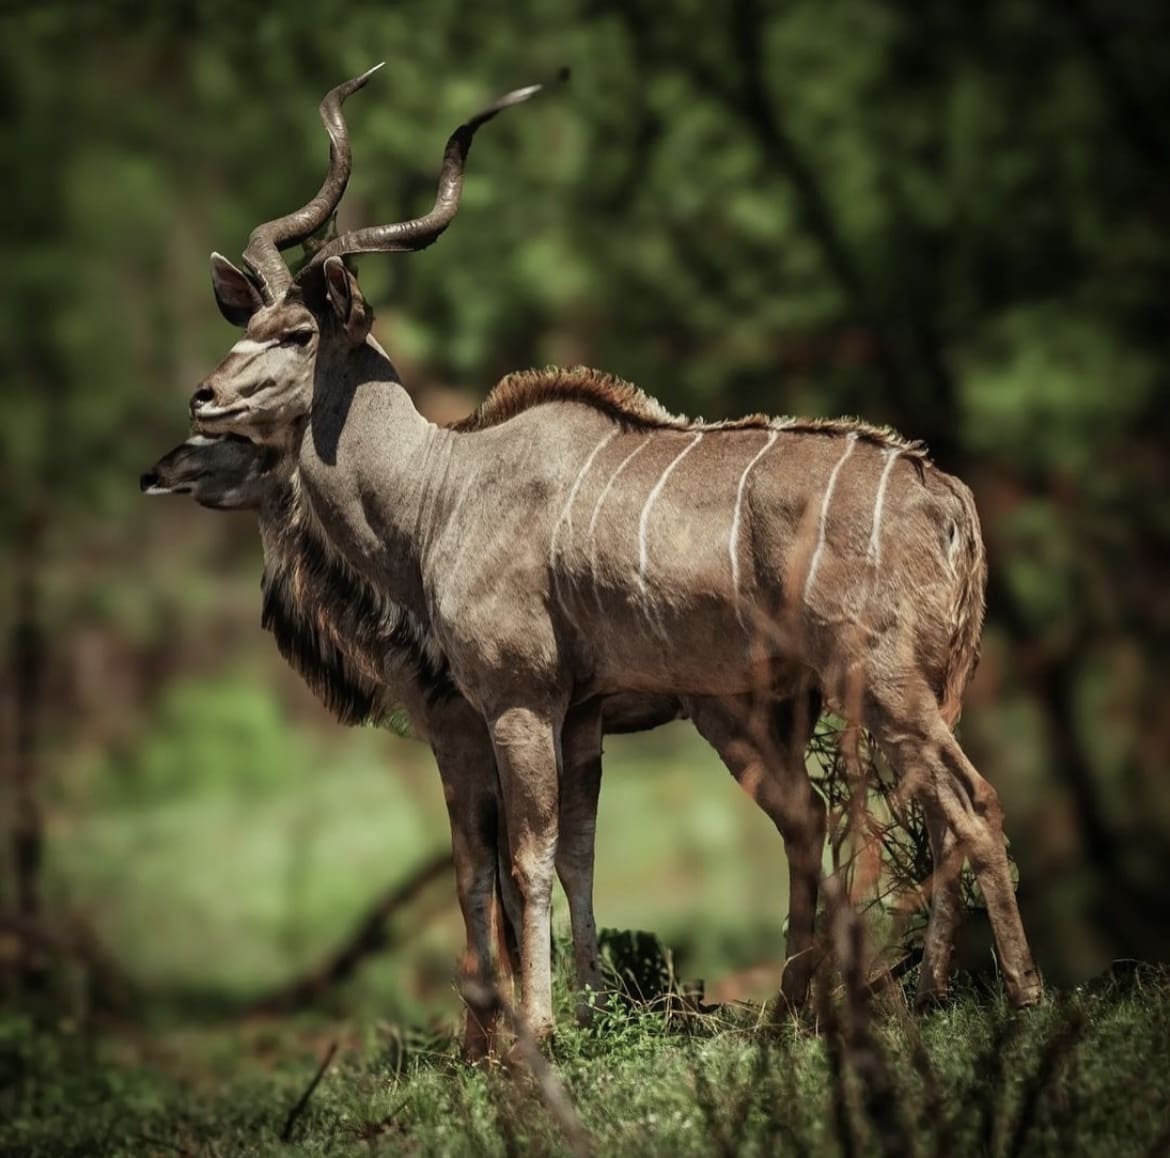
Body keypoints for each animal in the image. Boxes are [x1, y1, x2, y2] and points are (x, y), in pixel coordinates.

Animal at [182, 67, 1043, 1038]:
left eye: (297, 334)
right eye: (248, 322)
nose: (203, 396)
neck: (443, 488)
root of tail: (948, 496)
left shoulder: (513, 702)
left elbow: (521, 860)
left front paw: (534, 1032)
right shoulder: (584, 712)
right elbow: (578, 856)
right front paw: (589, 1015)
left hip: (882, 682)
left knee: (968, 808)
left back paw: (1017, 1000)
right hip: (867, 697)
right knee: (888, 815)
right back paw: (883, 1001)